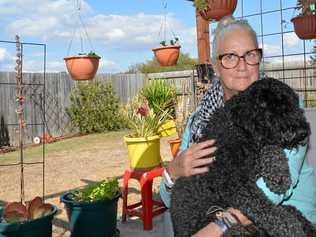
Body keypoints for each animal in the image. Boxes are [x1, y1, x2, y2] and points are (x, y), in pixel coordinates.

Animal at [170, 78, 316, 237]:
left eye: (295, 105)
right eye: (278, 108)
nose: (303, 132)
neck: (237, 129)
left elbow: (271, 147)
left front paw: (279, 175)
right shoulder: (234, 183)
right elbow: (267, 210)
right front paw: (290, 228)